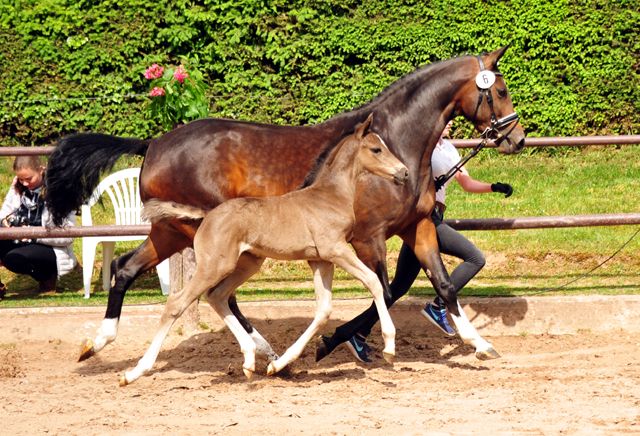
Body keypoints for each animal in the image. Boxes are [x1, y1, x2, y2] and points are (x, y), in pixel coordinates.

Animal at [120, 113, 410, 384]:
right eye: (376, 149)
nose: (404, 172)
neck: (330, 196)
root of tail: (206, 215)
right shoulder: (336, 250)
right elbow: (374, 281)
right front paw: (389, 347)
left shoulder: (321, 260)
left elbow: (324, 310)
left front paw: (278, 364)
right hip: (214, 265)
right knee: (178, 302)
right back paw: (134, 372)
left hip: (246, 263)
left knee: (217, 295)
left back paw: (249, 359)